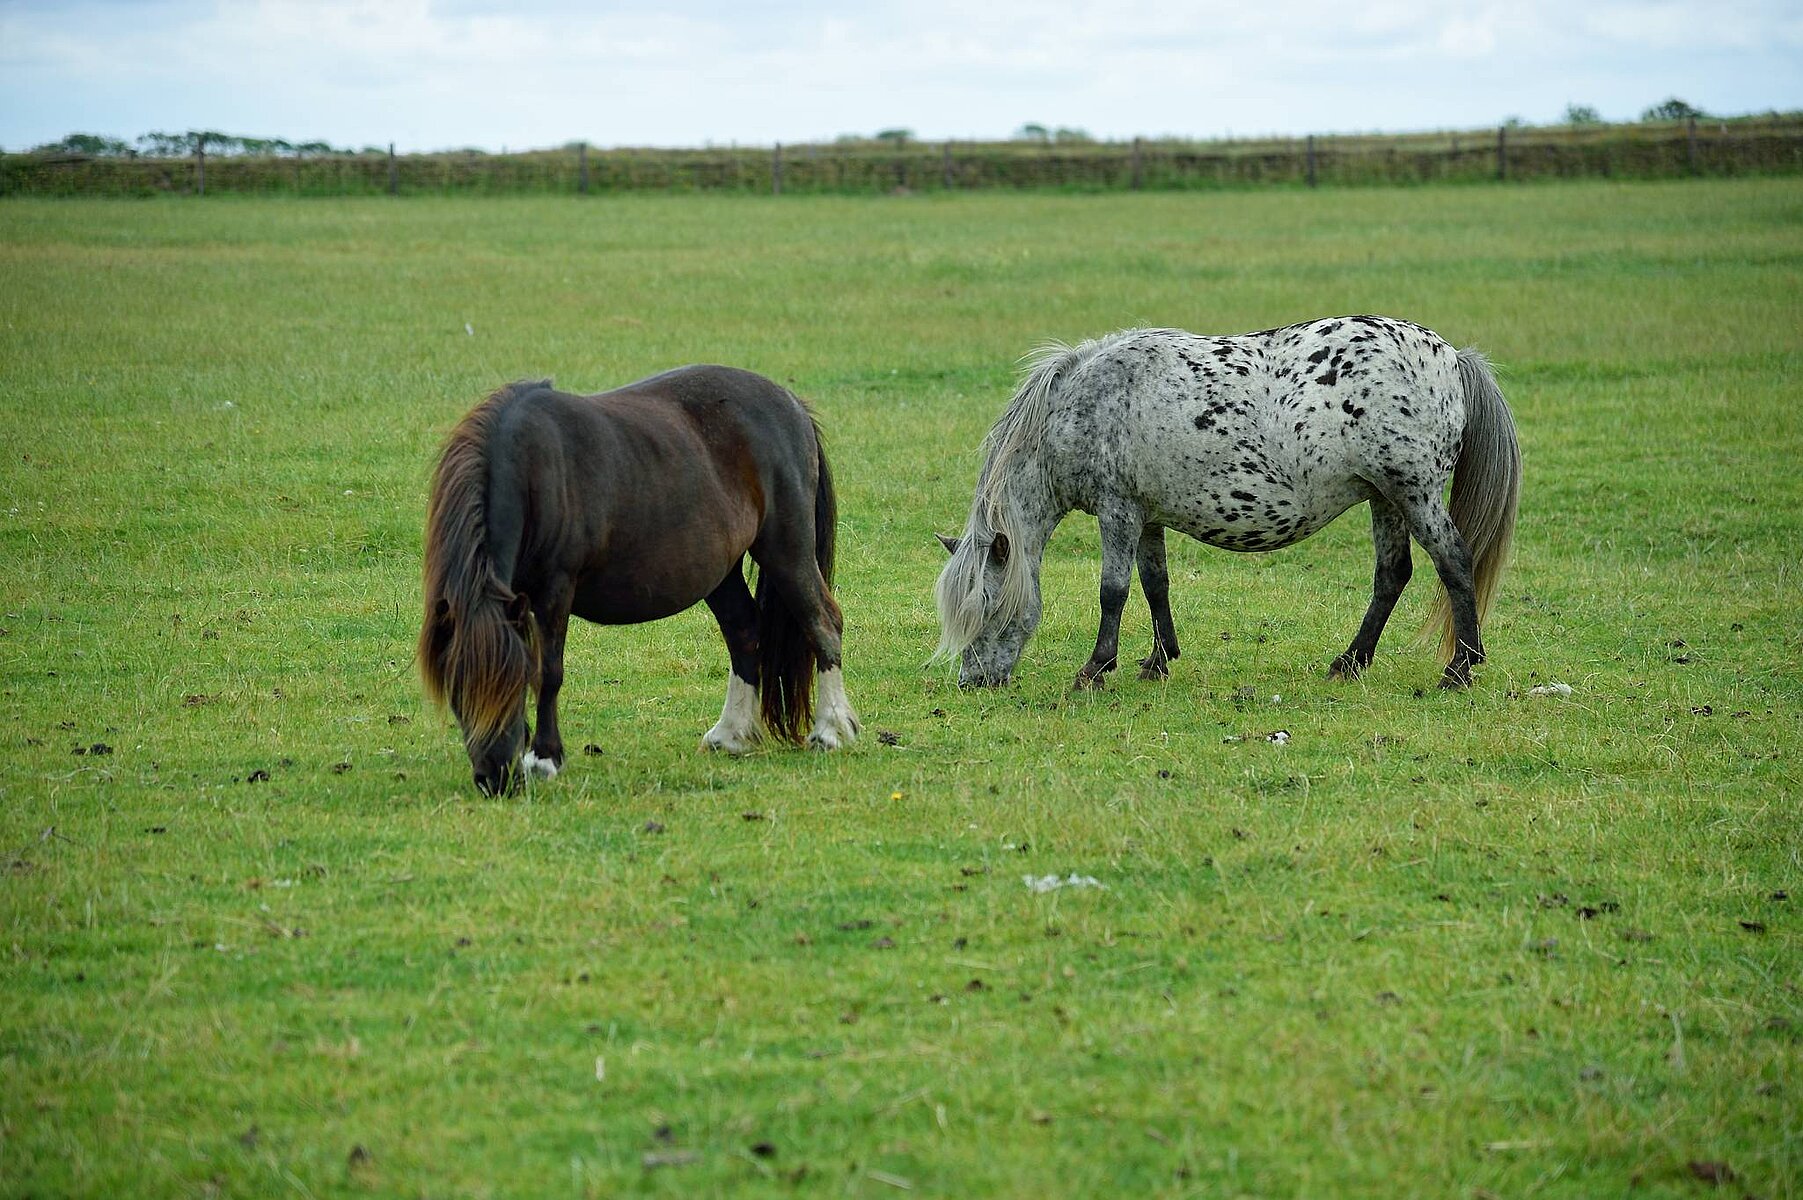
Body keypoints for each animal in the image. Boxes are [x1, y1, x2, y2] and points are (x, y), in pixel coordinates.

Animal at [420, 367, 859, 795]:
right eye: (456, 692)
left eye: (512, 684)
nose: (494, 780)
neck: (531, 469)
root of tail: (792, 404)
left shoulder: (555, 589)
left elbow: (550, 672)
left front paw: (544, 758)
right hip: (721, 571)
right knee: (744, 630)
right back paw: (730, 735)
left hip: (787, 547)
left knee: (823, 622)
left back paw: (831, 730)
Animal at [934, 316, 1521, 692]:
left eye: (986, 607)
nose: (973, 682)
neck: (1086, 403)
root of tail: (1452, 358)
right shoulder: (1145, 516)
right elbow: (1155, 585)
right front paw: (1158, 661)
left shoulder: (1117, 511)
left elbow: (1113, 591)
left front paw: (1096, 669)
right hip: (1386, 499)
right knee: (1392, 575)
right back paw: (1349, 663)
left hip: (1413, 493)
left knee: (1454, 563)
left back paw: (1459, 670)